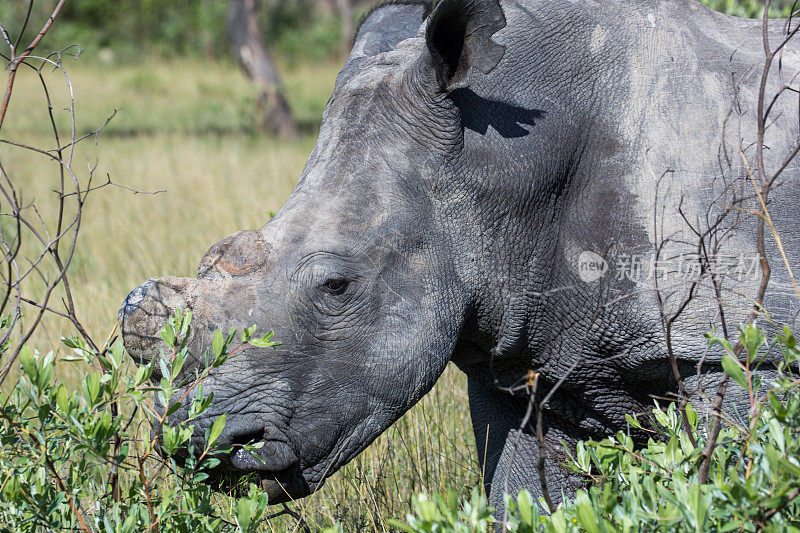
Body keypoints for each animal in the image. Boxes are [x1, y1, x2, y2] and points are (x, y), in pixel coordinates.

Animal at [119, 0, 800, 512]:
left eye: (336, 286)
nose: (199, 443)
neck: (496, 169)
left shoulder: (743, 343)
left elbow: (738, 476)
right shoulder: (527, 354)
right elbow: (524, 501)